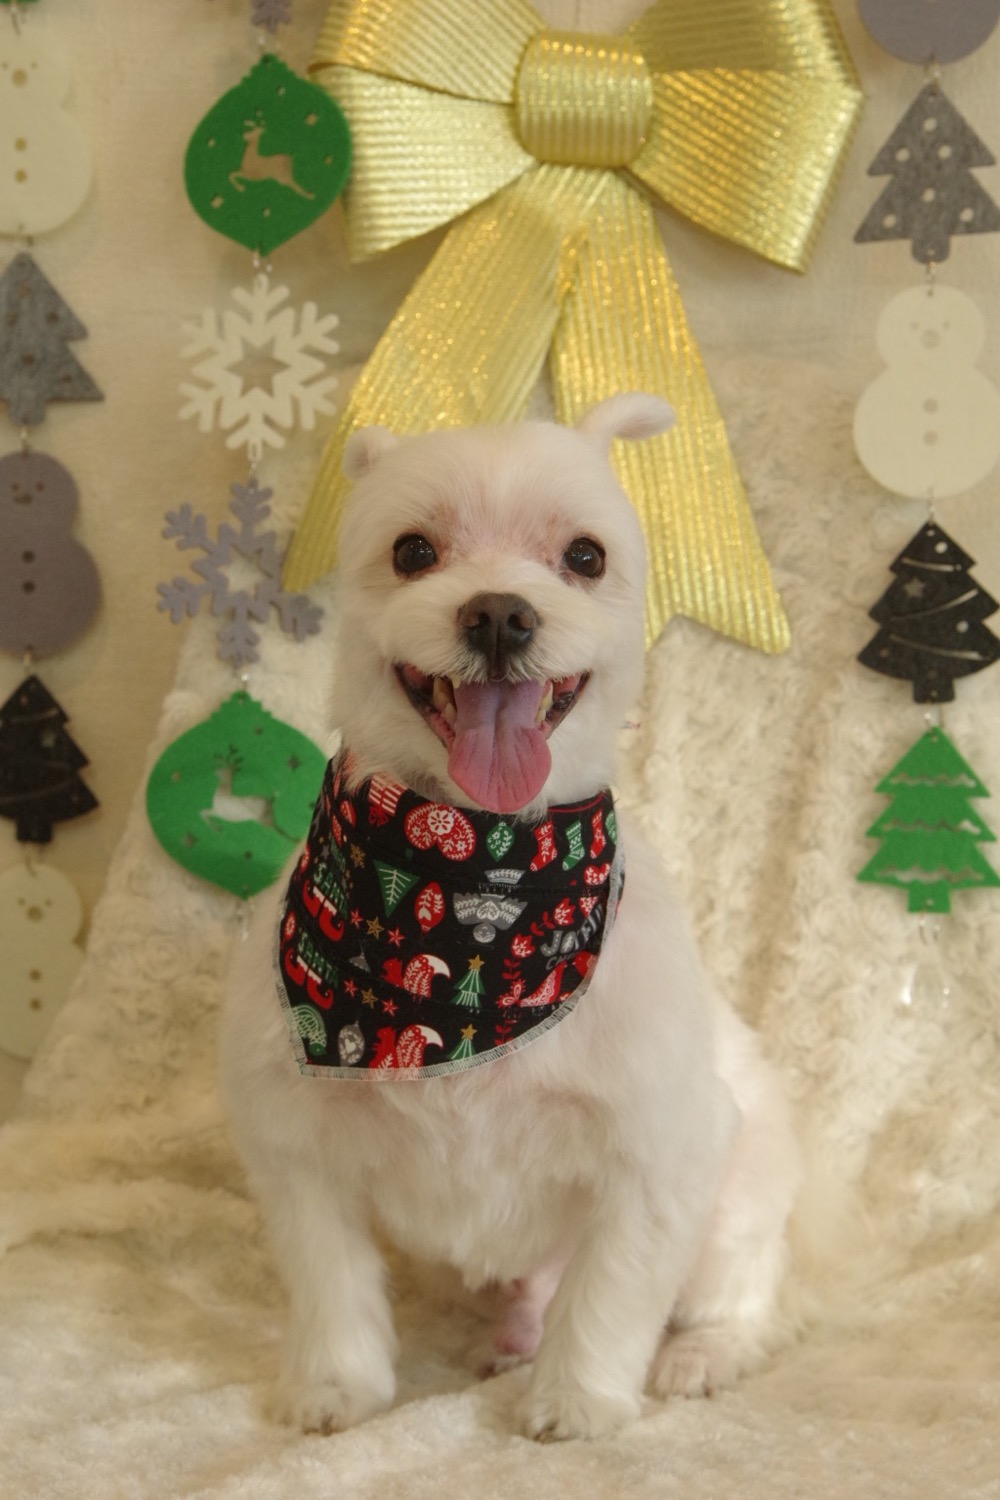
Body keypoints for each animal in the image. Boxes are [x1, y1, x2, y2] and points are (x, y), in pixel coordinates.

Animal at [220, 394, 801, 1442]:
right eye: (413, 550)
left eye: (585, 556)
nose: (497, 612)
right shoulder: (294, 1141)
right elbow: (330, 1281)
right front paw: (335, 1387)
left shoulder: (663, 1149)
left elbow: (612, 1291)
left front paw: (577, 1400)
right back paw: (517, 1334)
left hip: (743, 1195)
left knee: (744, 1295)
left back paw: (702, 1353)